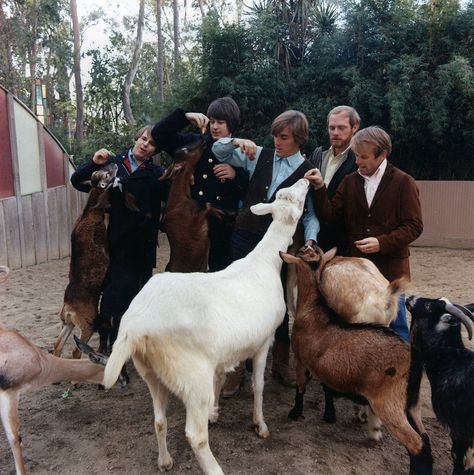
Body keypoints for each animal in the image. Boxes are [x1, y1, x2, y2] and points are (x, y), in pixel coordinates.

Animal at [52, 164, 116, 356]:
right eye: (106, 174)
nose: (114, 164)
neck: (90, 213)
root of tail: (68, 307)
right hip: (87, 325)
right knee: (76, 351)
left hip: (68, 324)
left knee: (57, 346)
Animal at [103, 178, 312, 475]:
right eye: (297, 199)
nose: (307, 179)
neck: (265, 261)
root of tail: (135, 327)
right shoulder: (263, 341)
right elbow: (258, 385)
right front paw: (260, 425)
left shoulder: (221, 355)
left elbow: (221, 378)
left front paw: (215, 412)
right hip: (192, 377)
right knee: (196, 435)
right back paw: (215, 469)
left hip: (152, 372)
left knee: (159, 420)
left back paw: (164, 461)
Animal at [159, 140, 224, 272]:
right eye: (185, 150)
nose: (202, 140)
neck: (179, 200)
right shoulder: (195, 225)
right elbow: (208, 205)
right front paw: (220, 213)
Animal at [282, 249, 434, 475]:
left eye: (302, 252)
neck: (313, 309)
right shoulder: (325, 366)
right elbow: (327, 387)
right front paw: (329, 414)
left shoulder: (302, 360)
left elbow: (301, 387)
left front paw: (295, 412)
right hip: (411, 405)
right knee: (425, 439)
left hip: (389, 403)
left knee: (416, 443)